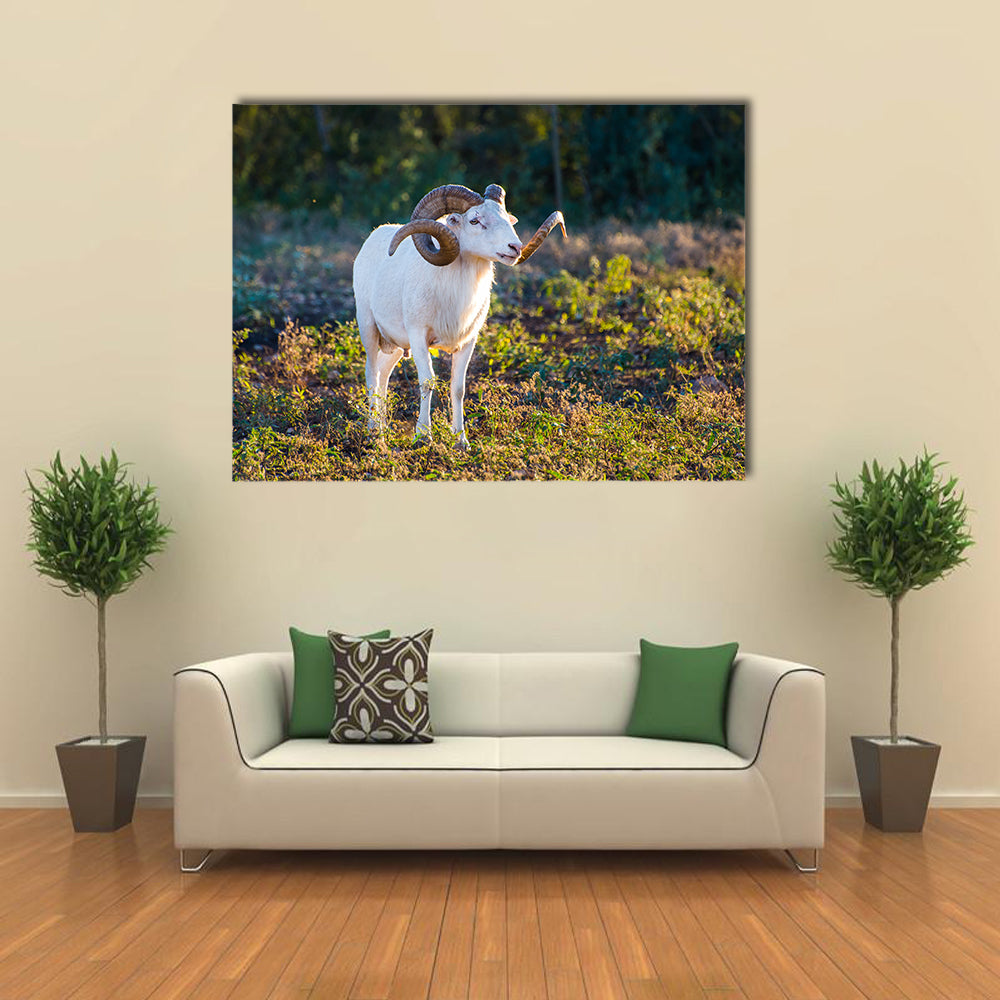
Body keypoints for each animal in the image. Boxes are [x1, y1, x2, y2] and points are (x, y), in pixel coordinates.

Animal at [352, 183, 565, 449]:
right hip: (369, 329)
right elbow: (427, 382)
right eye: (475, 220)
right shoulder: (419, 337)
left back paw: (383, 427)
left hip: (397, 347)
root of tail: (371, 239)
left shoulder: (467, 342)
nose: (515, 248)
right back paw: (375, 434)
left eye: (507, 219)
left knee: (383, 374)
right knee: (372, 374)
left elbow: (458, 388)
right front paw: (423, 437)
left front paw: (461, 441)